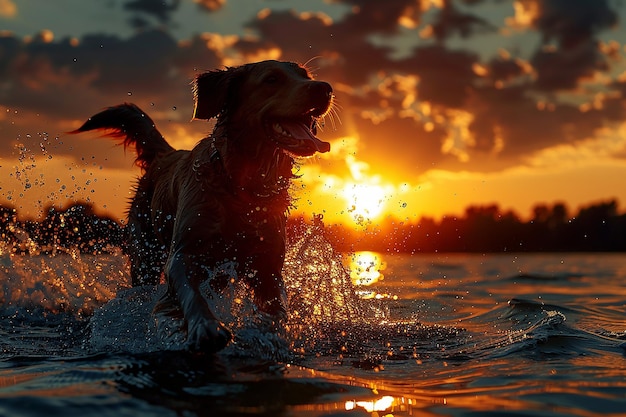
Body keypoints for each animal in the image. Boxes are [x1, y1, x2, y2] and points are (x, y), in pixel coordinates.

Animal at [73, 59, 334, 352]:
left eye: (305, 76)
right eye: (272, 79)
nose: (325, 88)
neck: (243, 187)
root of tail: (166, 153)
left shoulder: (267, 265)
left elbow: (277, 307)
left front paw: (265, 333)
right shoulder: (183, 254)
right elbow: (190, 294)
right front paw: (205, 327)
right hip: (144, 256)